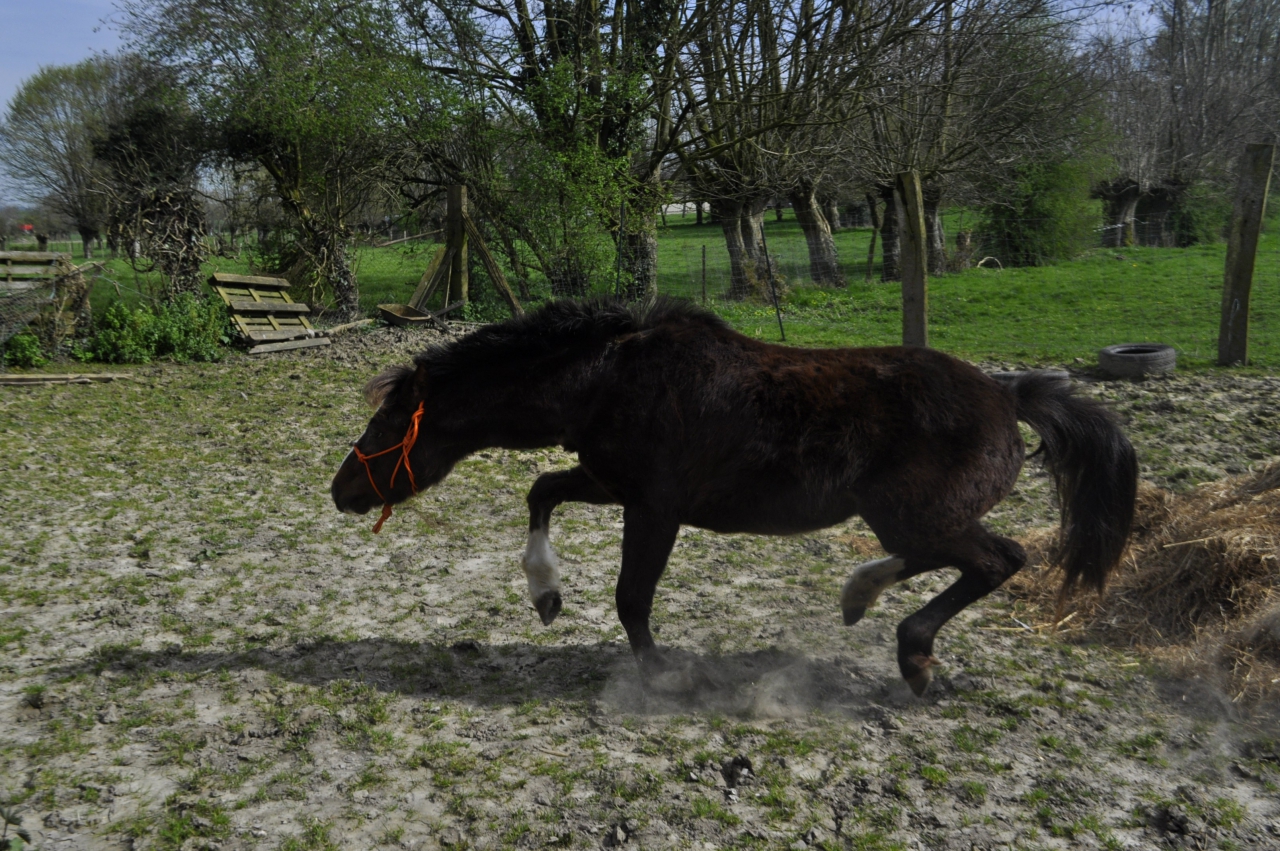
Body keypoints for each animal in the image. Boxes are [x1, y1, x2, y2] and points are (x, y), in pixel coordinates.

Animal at [331, 298, 1137, 695]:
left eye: (390, 423)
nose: (340, 491)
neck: (606, 380)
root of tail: (1010, 395)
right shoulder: (611, 484)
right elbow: (541, 491)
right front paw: (546, 594)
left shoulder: (653, 507)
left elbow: (632, 596)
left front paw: (663, 675)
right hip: (906, 515)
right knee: (955, 559)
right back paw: (869, 607)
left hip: (914, 512)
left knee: (998, 558)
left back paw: (905, 646)